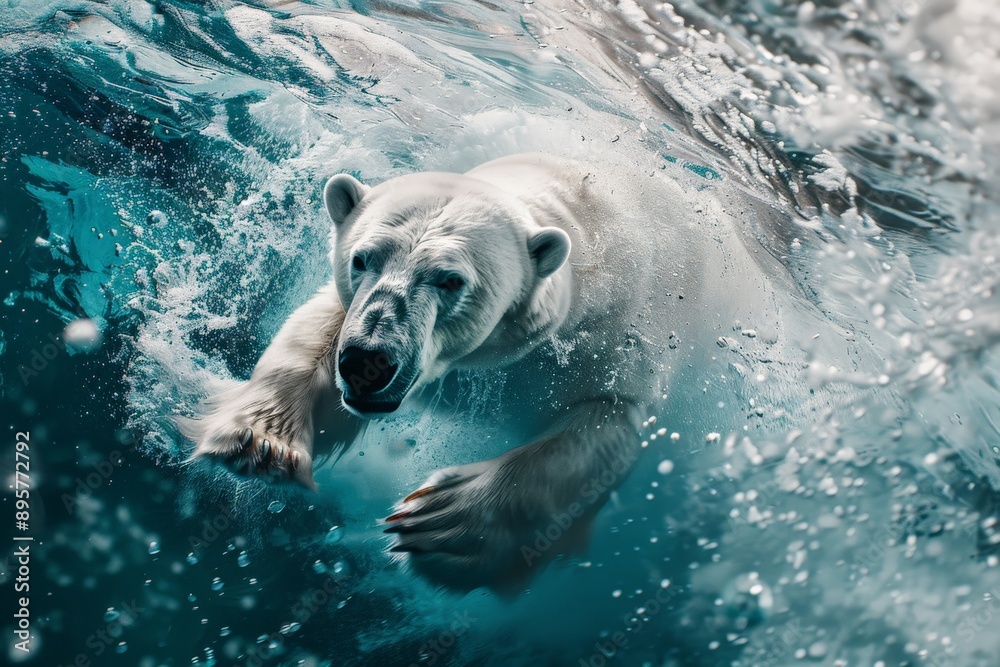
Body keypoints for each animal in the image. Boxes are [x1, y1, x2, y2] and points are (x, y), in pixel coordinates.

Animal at [188, 152, 789, 592]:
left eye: (450, 279)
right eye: (362, 258)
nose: (368, 363)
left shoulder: (623, 337)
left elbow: (601, 431)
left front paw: (439, 523)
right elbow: (316, 331)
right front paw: (260, 441)